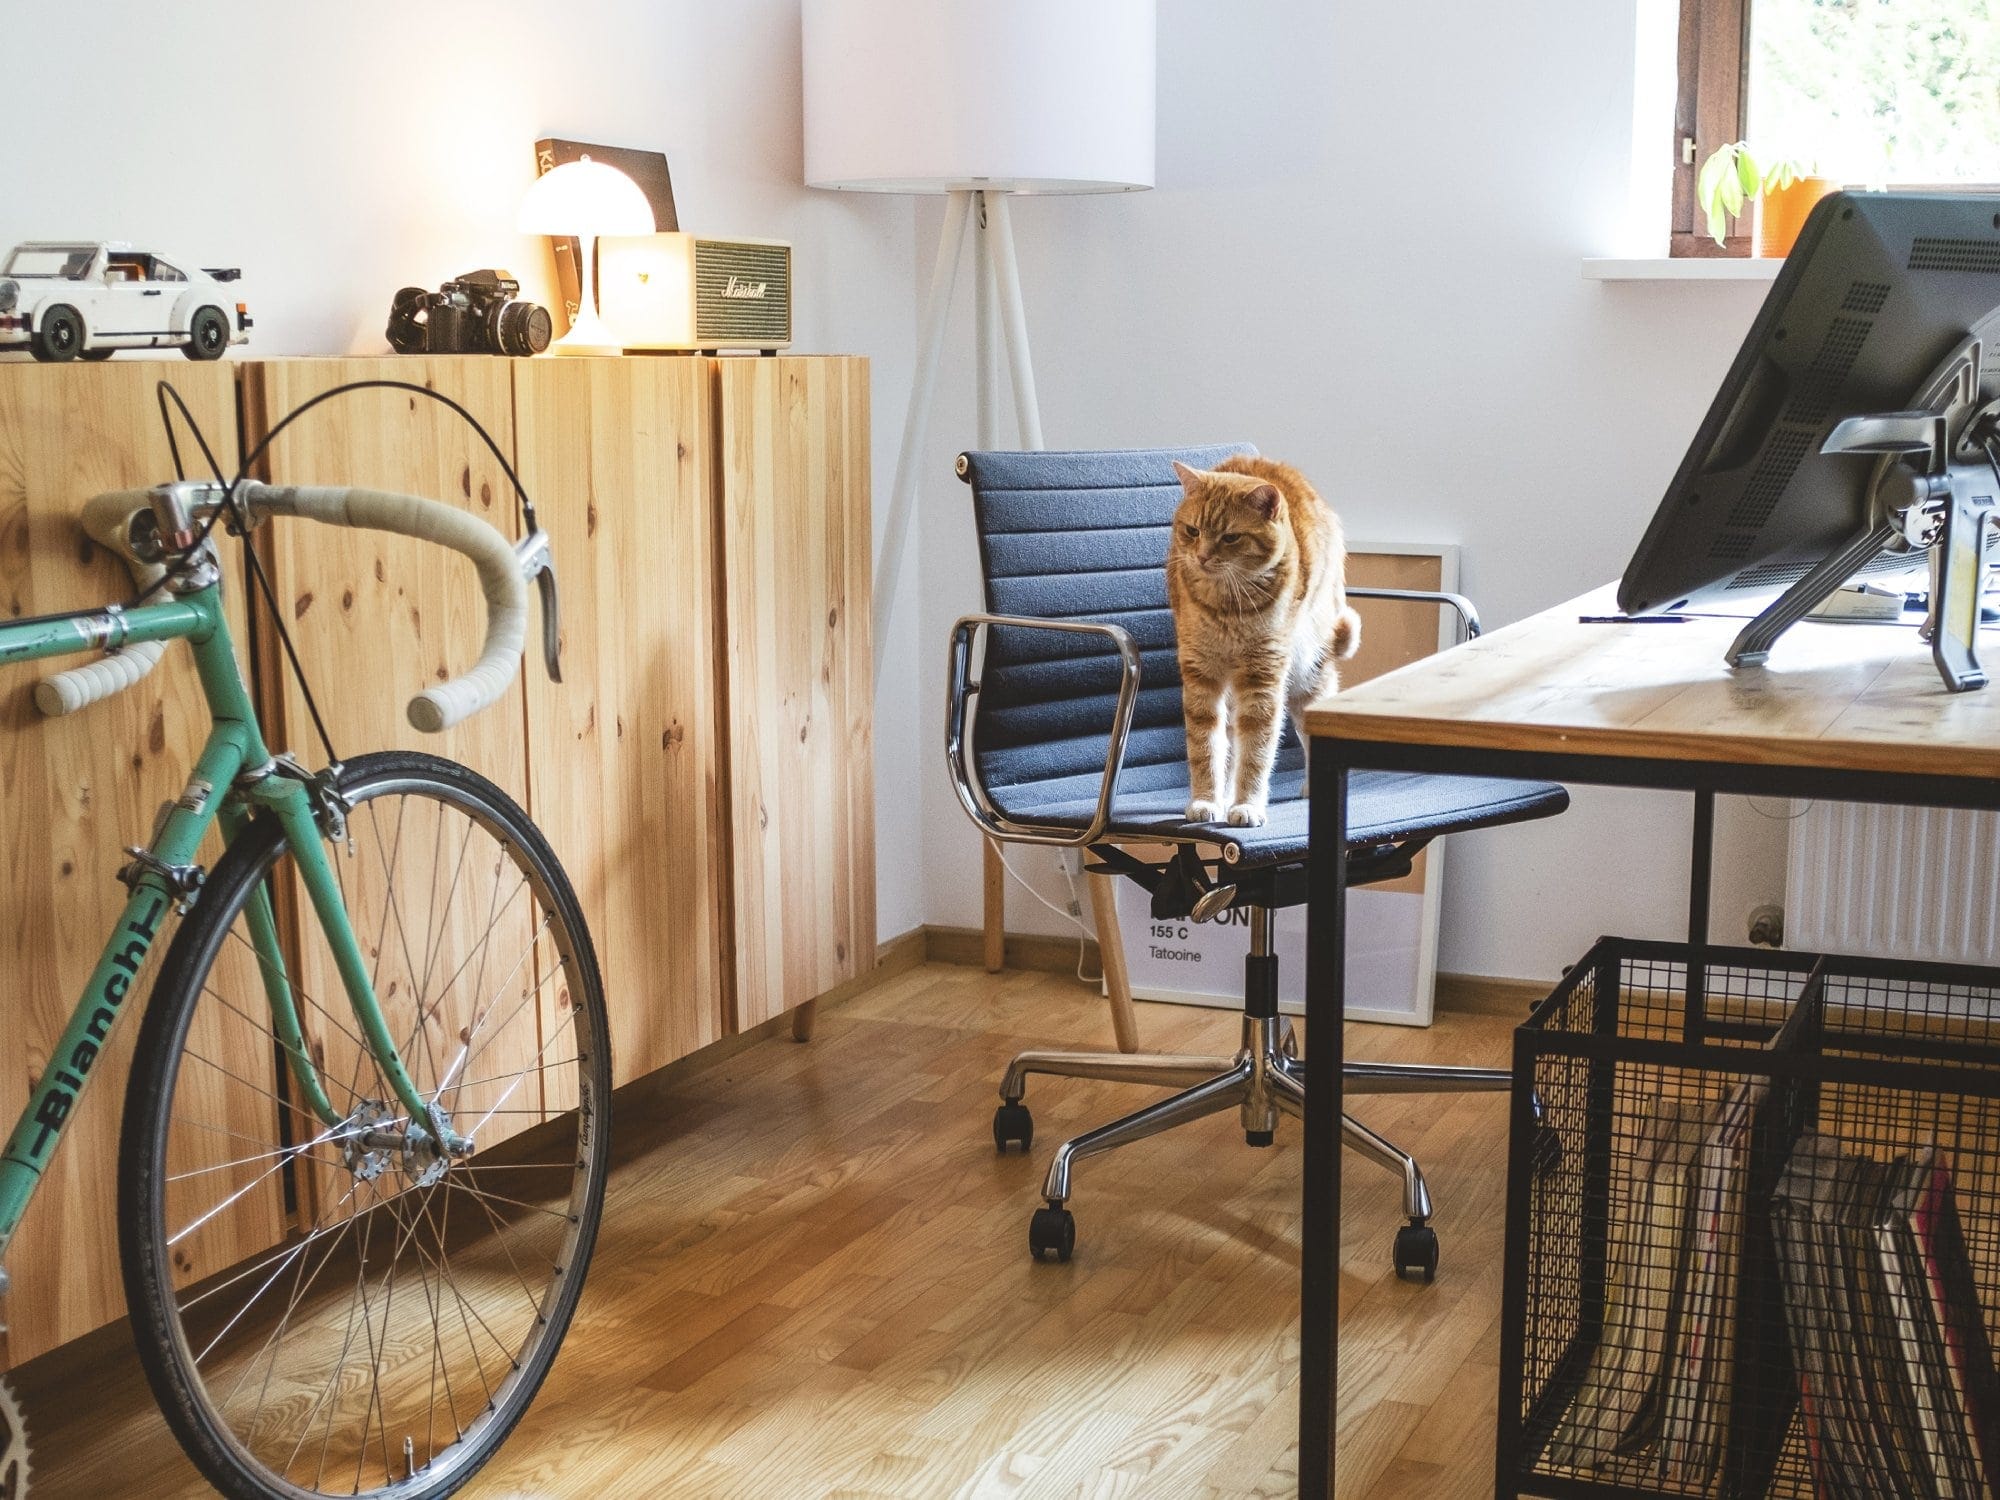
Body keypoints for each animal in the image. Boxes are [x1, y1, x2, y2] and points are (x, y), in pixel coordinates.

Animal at [1168, 458, 1368, 836]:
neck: (1227, 607)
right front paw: (1207, 801)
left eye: (1230, 537)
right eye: (1192, 531)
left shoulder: (1263, 677)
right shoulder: (1200, 673)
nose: (1201, 557)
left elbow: (1257, 751)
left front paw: (1247, 804)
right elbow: (1205, 747)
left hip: (1307, 677)